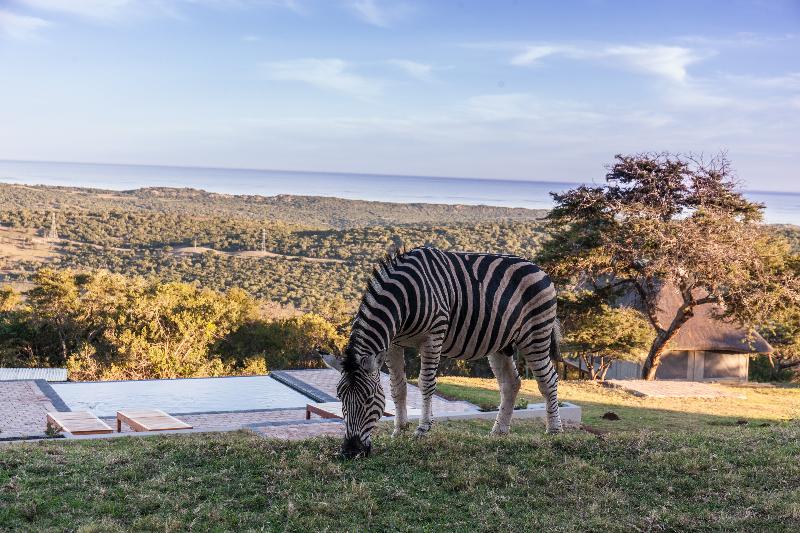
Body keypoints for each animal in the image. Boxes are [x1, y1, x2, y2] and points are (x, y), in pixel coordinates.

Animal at [322, 246, 562, 458]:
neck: (404, 298)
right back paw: (498, 432)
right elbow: (398, 387)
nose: (350, 452)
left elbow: (425, 382)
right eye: (340, 397)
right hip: (500, 343)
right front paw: (399, 430)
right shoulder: (393, 343)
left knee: (549, 380)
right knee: (510, 383)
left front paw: (423, 429)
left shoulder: (433, 335)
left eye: (369, 398)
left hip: (535, 335)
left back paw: (554, 431)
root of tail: (539, 269)